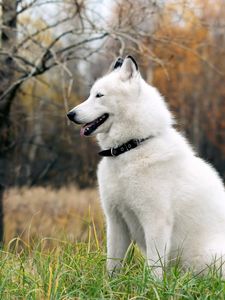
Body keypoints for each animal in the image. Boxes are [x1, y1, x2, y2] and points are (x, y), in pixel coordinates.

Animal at [67, 55, 225, 276]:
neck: (131, 148)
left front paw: (152, 285)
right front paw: (111, 283)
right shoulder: (116, 221)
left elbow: (154, 267)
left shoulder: (155, 221)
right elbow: (113, 264)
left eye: (99, 95)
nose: (70, 114)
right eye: (91, 94)